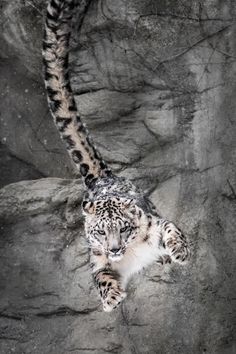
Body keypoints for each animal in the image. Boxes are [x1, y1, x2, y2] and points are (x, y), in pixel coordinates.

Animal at [42, 0, 190, 312]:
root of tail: (102, 177)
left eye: (123, 229)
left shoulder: (157, 224)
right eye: (100, 232)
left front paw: (179, 251)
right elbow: (100, 275)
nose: (114, 248)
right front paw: (111, 296)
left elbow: (172, 228)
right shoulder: (97, 259)